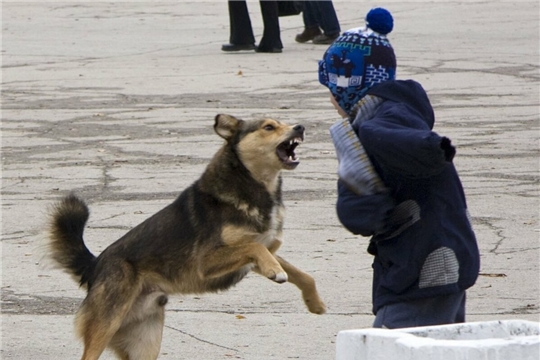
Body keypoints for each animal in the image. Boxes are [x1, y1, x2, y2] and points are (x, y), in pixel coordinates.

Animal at [48, 114, 324, 360]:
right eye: (269, 127)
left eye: (284, 122)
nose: (300, 127)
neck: (252, 186)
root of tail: (94, 266)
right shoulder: (208, 261)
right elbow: (256, 249)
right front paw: (276, 273)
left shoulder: (261, 252)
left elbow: (302, 274)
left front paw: (315, 303)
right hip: (106, 325)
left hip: (145, 342)